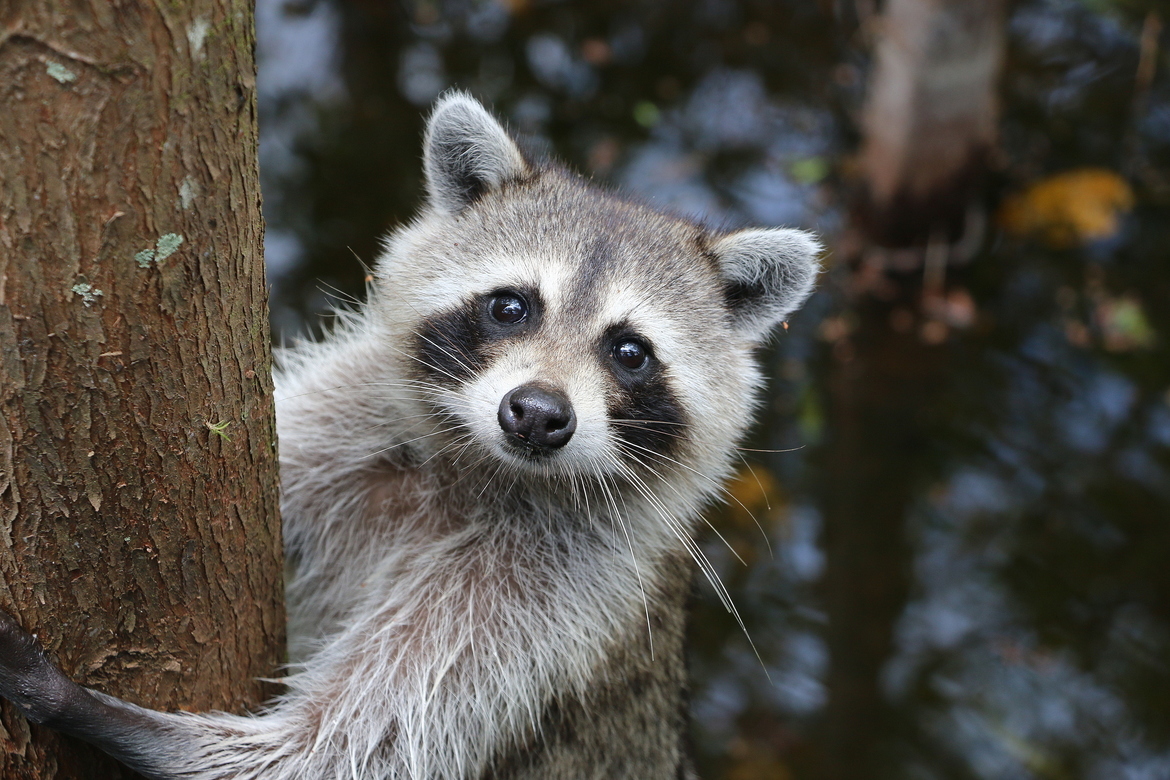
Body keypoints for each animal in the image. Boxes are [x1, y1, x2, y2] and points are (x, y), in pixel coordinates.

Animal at [0, 93, 820, 779]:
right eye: (511, 306)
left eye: (629, 351)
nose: (536, 412)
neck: (482, 467)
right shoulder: (348, 418)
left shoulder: (561, 595)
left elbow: (344, 746)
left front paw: (114, 719)